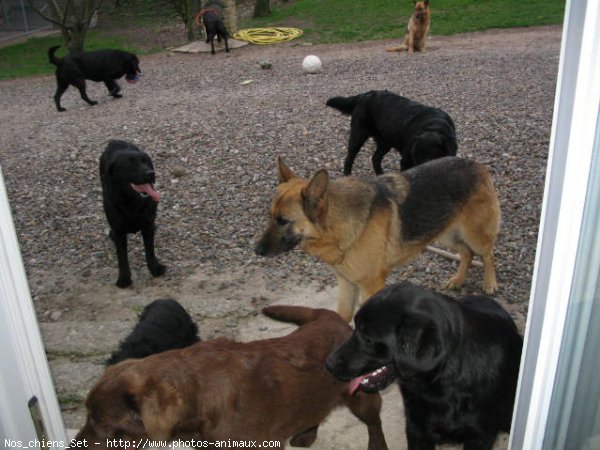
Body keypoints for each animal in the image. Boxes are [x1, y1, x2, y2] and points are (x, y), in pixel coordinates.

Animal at [99, 140, 165, 288]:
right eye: (129, 164)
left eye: (145, 161)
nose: (151, 173)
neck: (132, 201)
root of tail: (115, 141)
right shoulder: (119, 231)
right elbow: (122, 257)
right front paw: (124, 278)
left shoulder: (147, 226)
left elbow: (150, 250)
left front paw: (155, 268)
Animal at [255, 156, 500, 322]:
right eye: (269, 216)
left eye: (283, 221)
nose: (256, 250)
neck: (339, 225)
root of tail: (477, 165)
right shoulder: (347, 284)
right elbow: (340, 318)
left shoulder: (371, 286)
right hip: (445, 234)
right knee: (466, 254)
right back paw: (458, 279)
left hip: (474, 235)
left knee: (488, 254)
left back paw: (490, 283)